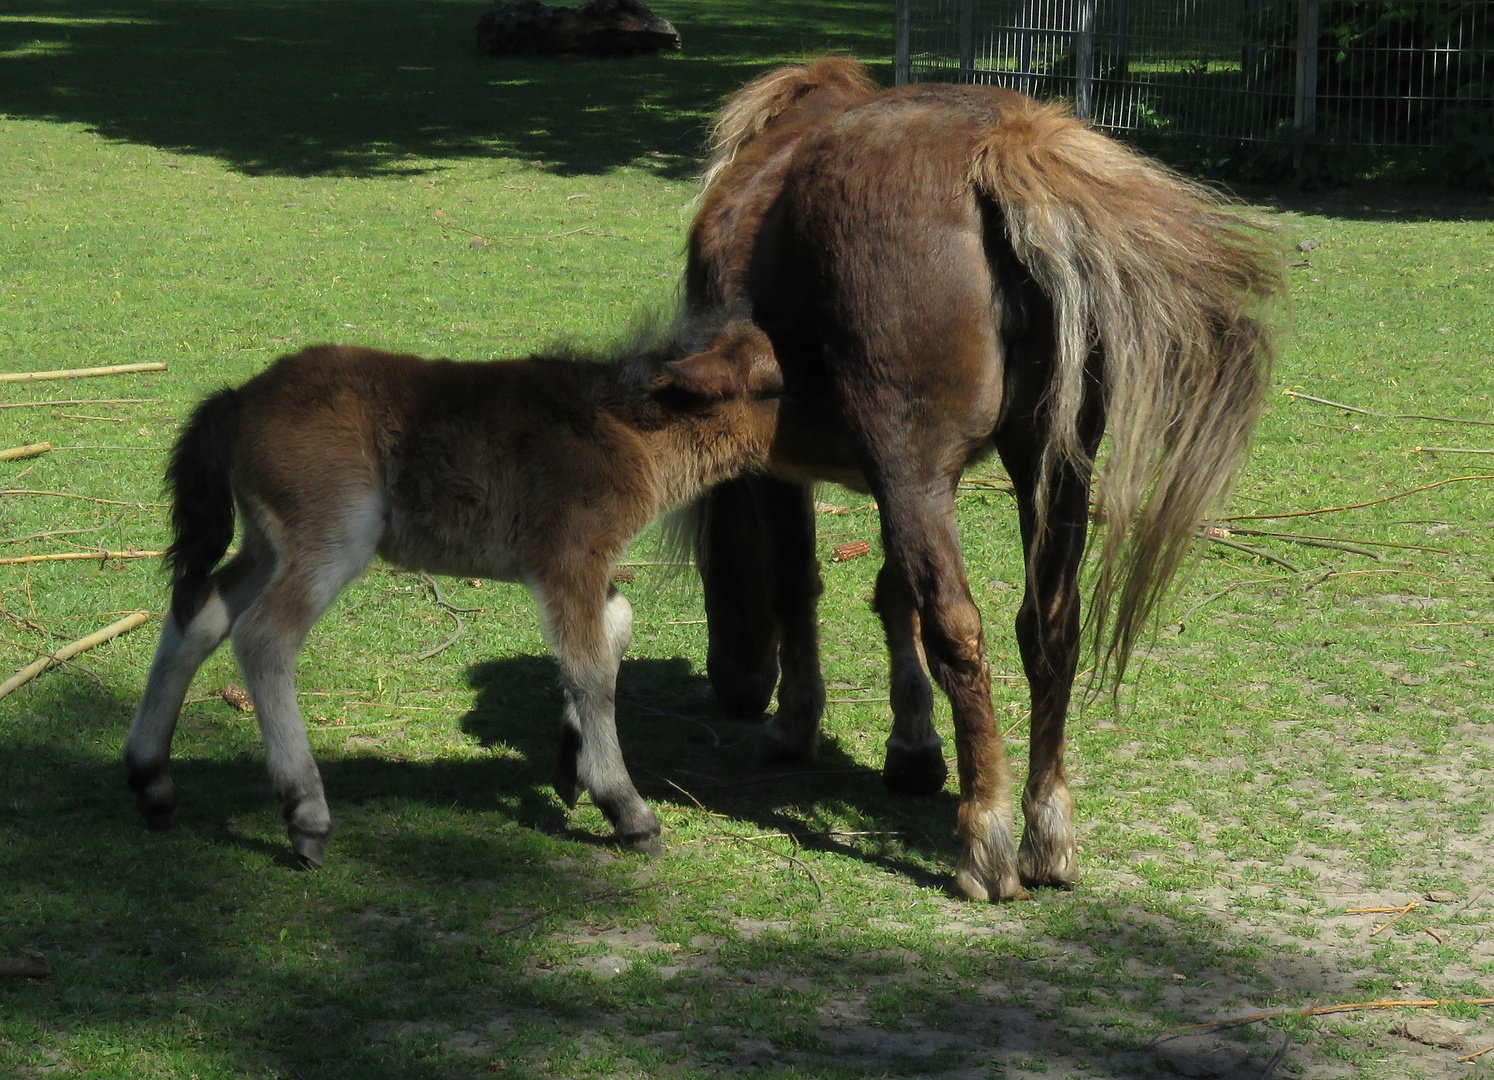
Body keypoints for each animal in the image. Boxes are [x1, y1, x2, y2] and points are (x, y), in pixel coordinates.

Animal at [684, 61, 1278, 902]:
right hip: (1047, 466)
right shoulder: (910, 479)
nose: (733, 689)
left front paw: (797, 724)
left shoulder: (798, 464)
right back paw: (1046, 831)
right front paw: (912, 748)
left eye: (710, 564)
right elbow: (893, 593)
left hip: (921, 464)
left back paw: (986, 840)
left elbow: (801, 585)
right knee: (1049, 626)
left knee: (959, 630)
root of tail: (1004, 145)